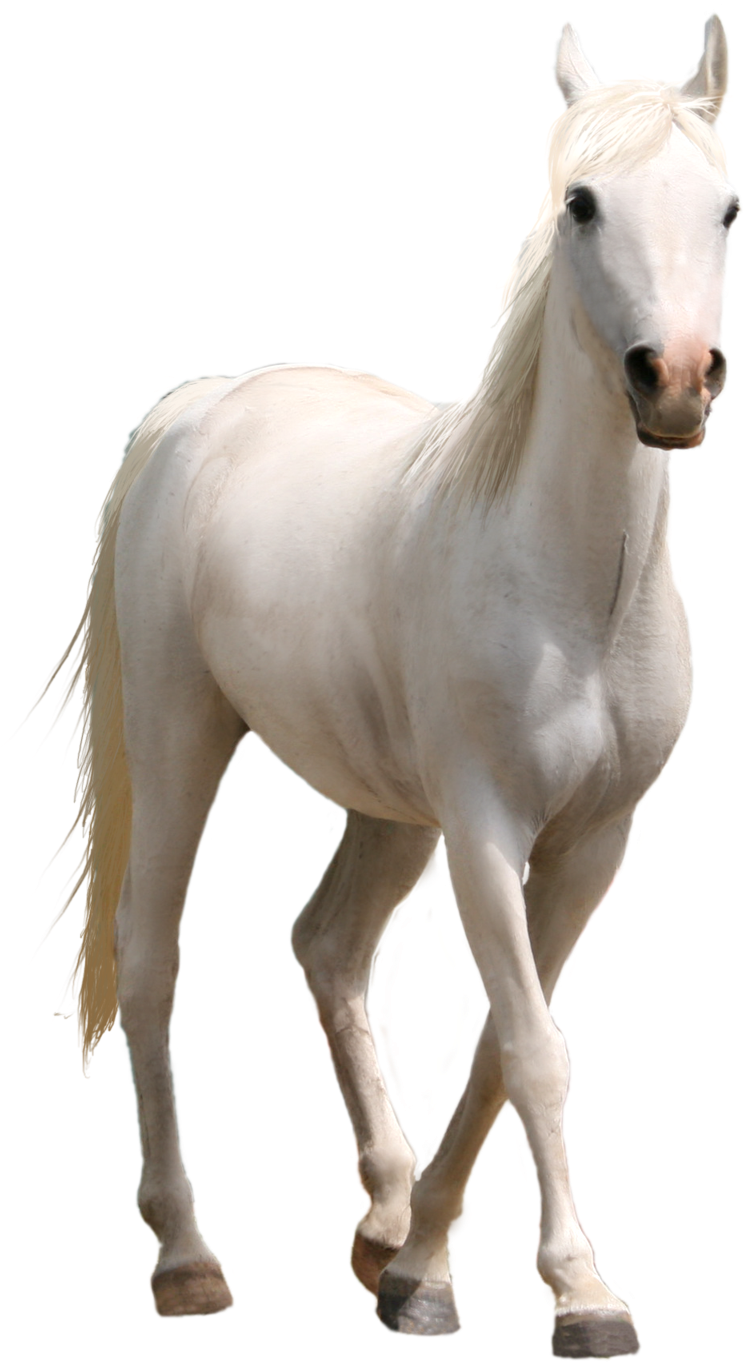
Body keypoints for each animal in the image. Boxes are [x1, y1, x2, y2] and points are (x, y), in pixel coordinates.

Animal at [8, 10, 739, 1353]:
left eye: (724, 207)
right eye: (581, 203)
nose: (673, 380)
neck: (574, 588)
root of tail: (201, 408)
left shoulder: (593, 839)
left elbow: (504, 1044)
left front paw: (429, 1269)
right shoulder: (491, 828)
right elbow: (532, 1048)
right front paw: (569, 1296)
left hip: (392, 809)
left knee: (330, 947)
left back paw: (385, 1217)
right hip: (186, 738)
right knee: (152, 954)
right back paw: (187, 1259)